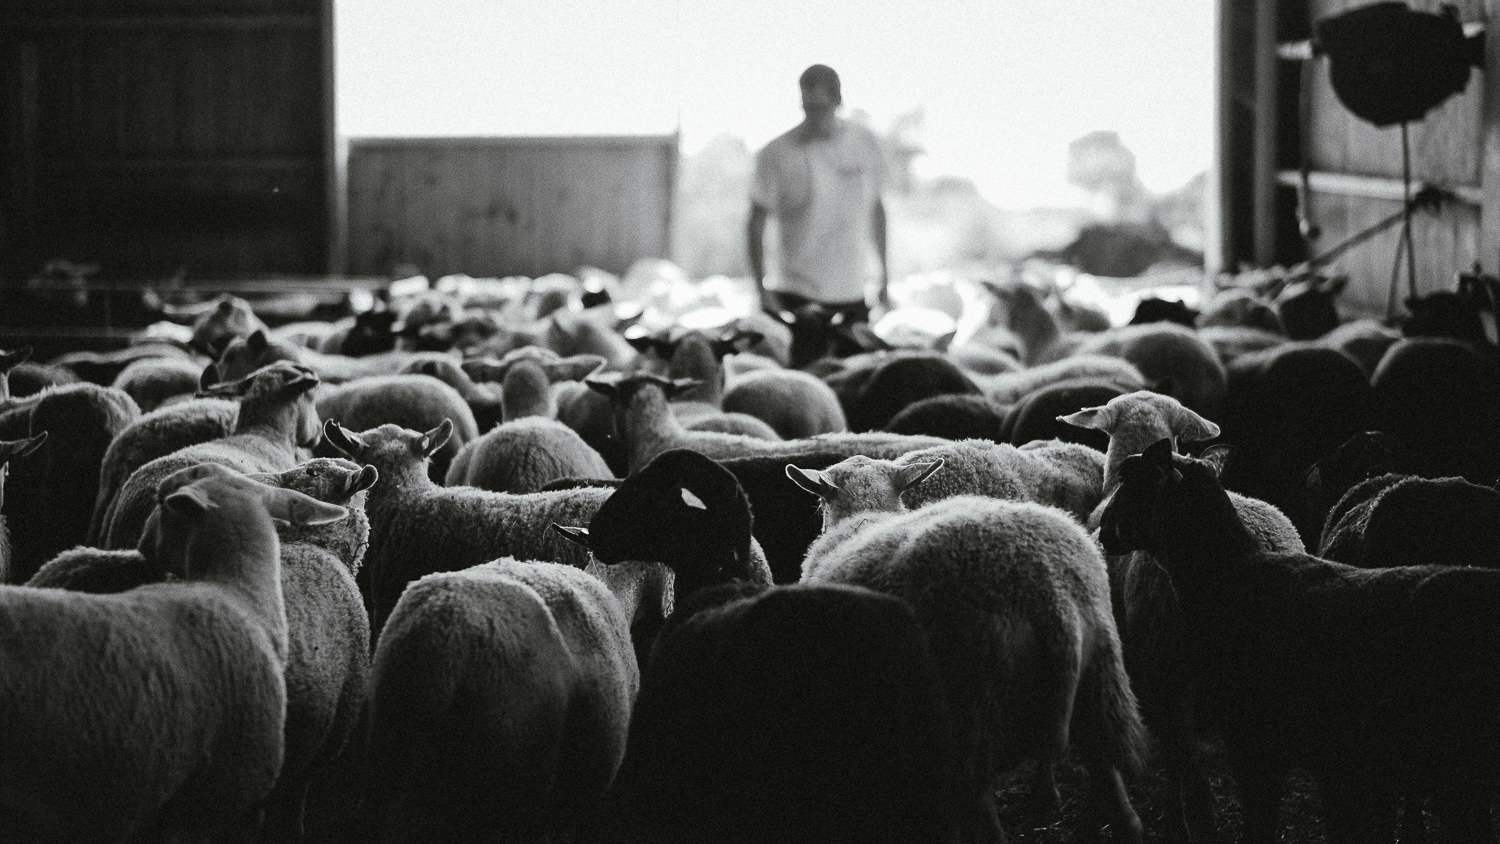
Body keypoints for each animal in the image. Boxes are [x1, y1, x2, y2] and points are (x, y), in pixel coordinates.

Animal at [798, 455, 1146, 844]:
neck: (864, 515)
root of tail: (1049, 592)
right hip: (1101, 683)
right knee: (1117, 792)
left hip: (973, 702)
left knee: (977, 806)